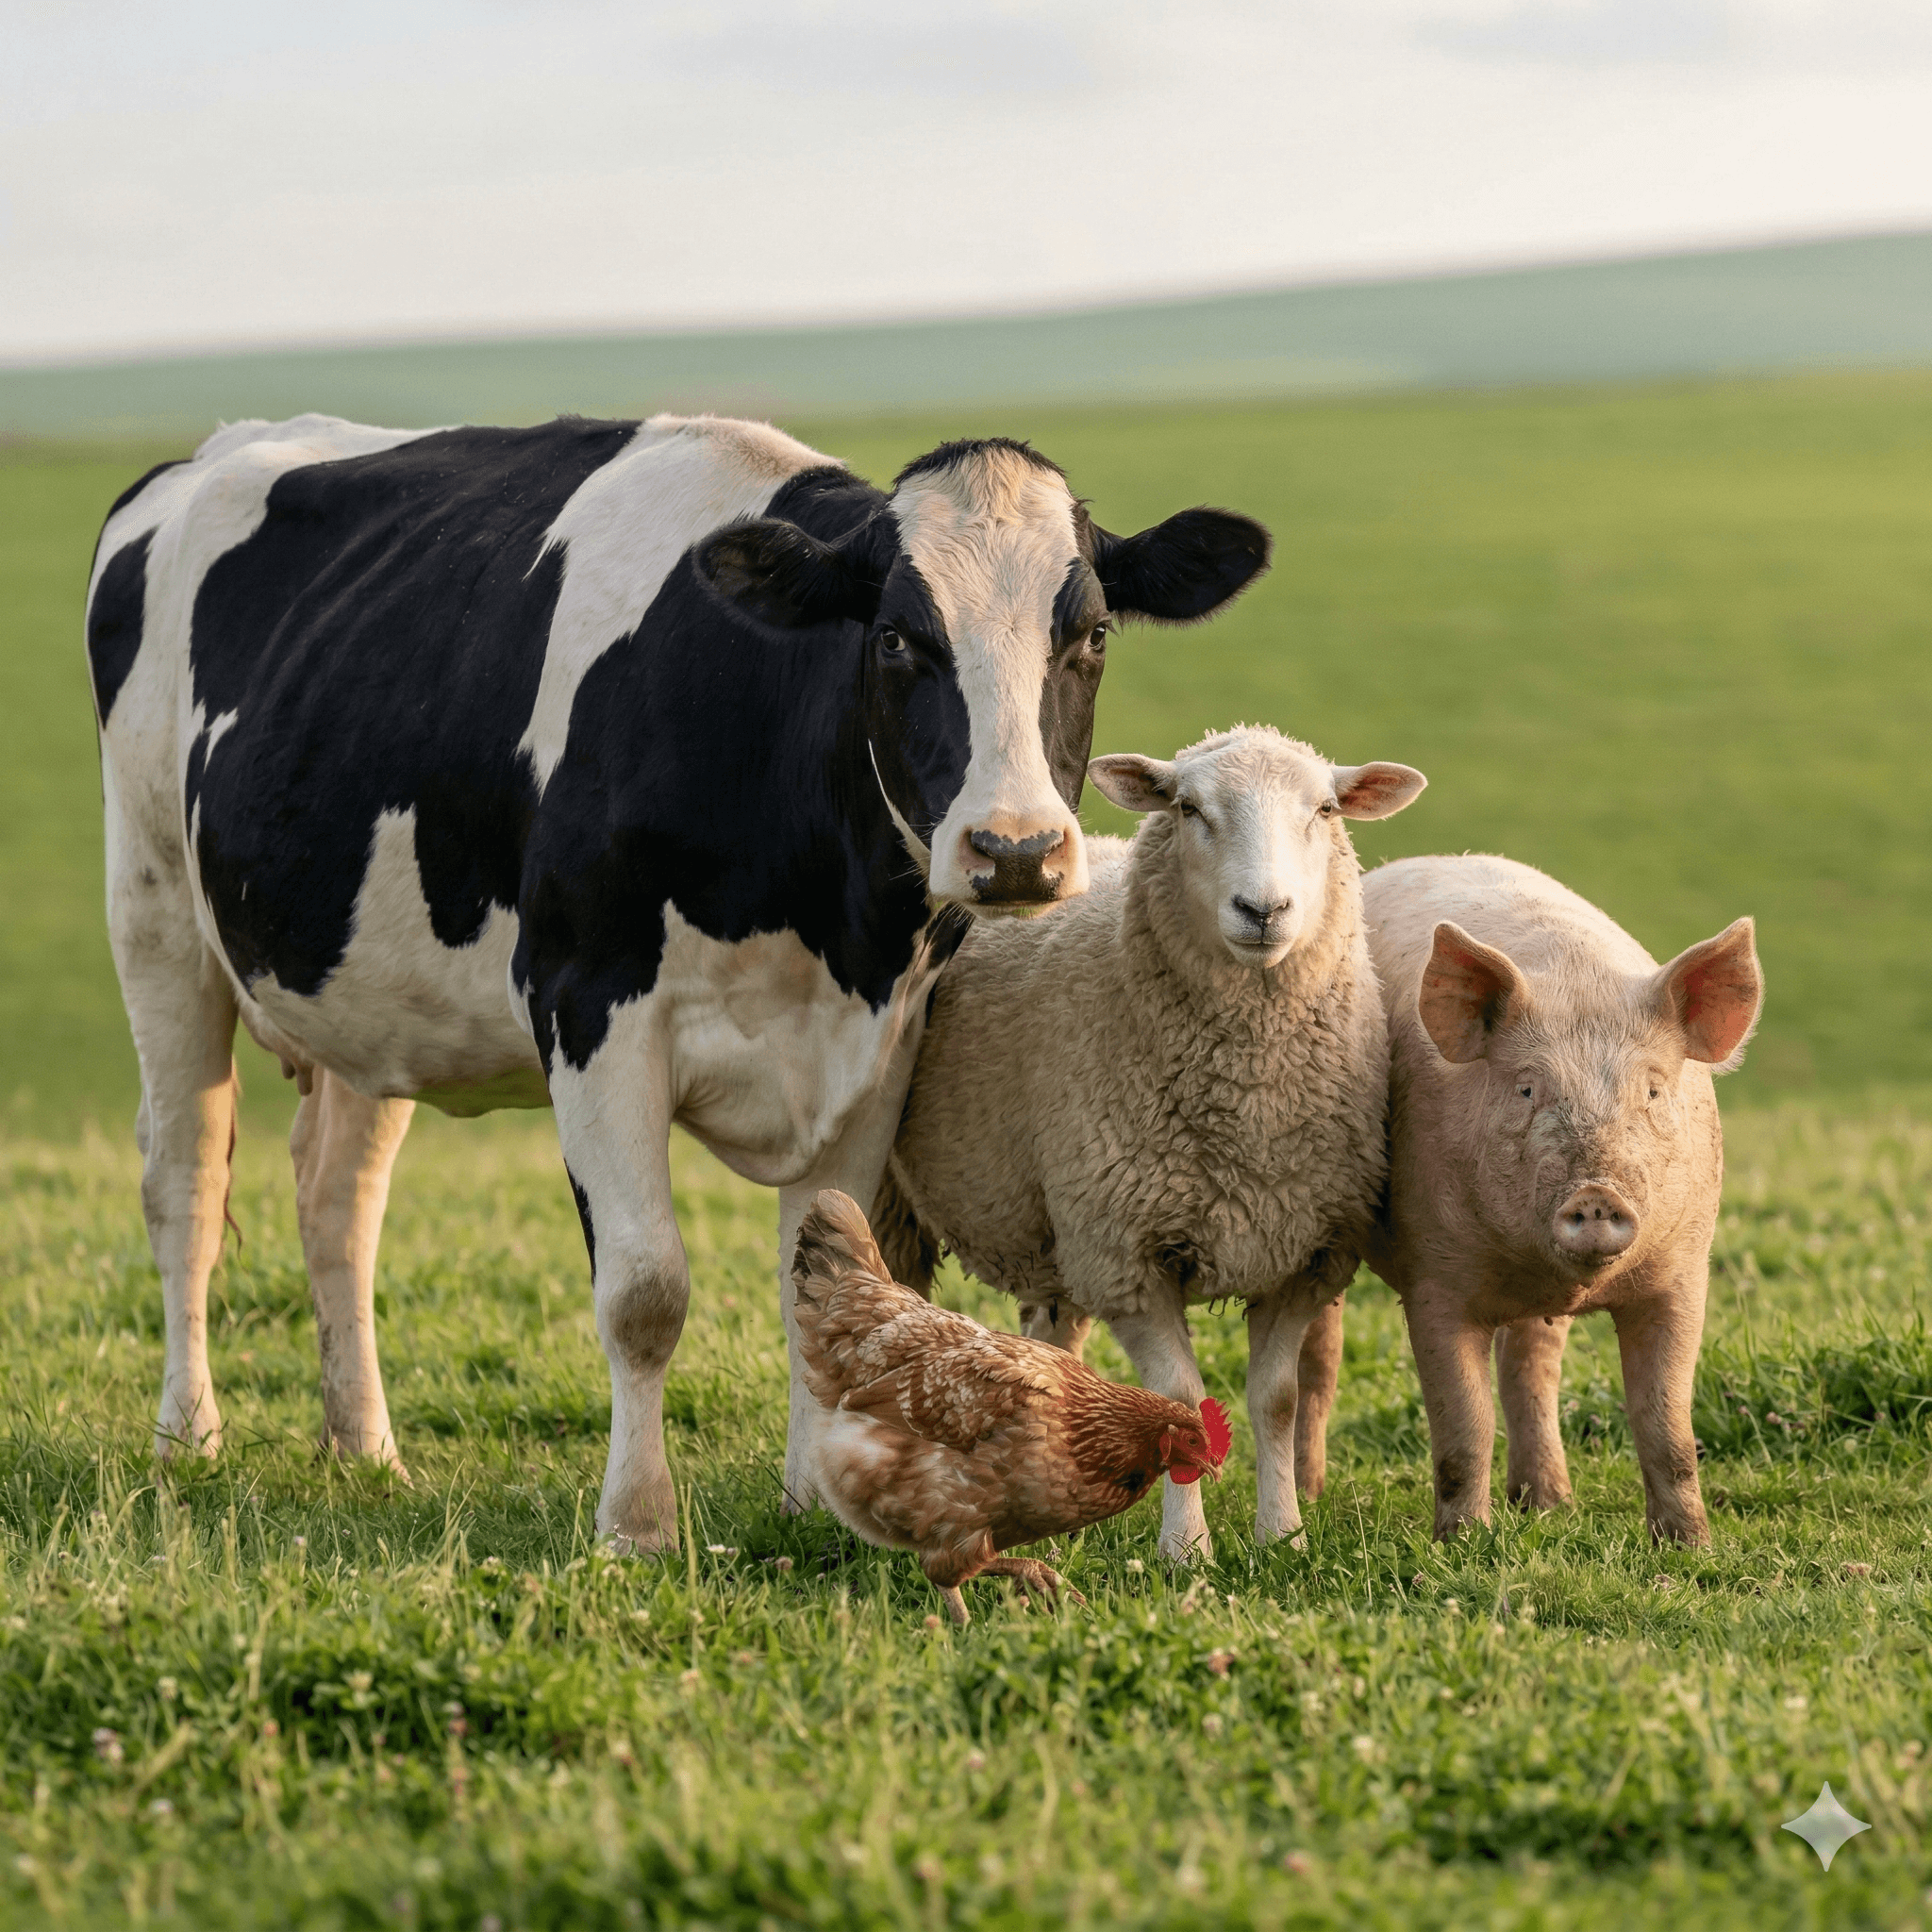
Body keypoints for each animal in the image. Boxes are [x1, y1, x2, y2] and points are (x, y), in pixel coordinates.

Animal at [85, 410, 1270, 1552]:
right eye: (895, 636)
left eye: (1092, 634)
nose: (1015, 849)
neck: (815, 909)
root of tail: (210, 450)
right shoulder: (589, 1007)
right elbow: (643, 1290)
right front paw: (635, 1524)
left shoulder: (877, 1039)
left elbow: (820, 1279)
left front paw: (813, 1505)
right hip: (155, 909)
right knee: (184, 1177)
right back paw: (188, 1437)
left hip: (372, 1000)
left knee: (339, 1200)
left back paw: (365, 1445)